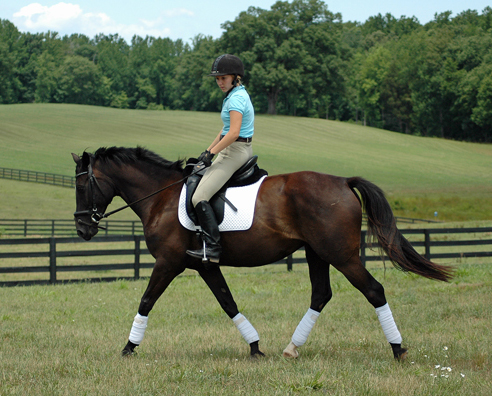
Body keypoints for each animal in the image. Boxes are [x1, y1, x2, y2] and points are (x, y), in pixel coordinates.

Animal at [71, 147, 452, 360]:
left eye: (82, 184)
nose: (82, 229)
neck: (160, 197)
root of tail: (343, 181)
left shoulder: (168, 263)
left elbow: (146, 301)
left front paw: (128, 348)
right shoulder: (205, 266)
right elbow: (228, 303)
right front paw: (255, 347)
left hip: (342, 256)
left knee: (373, 291)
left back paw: (398, 349)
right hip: (316, 253)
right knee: (321, 294)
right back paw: (292, 348)